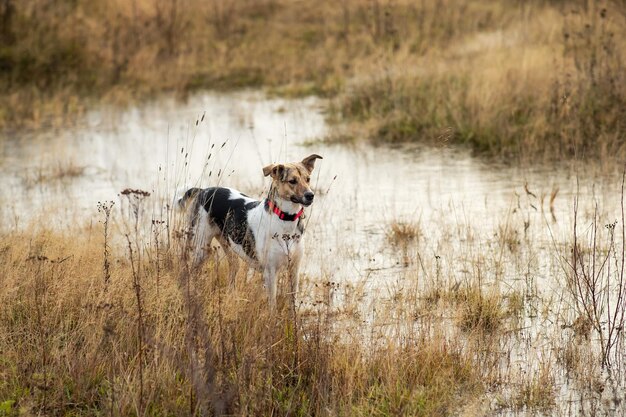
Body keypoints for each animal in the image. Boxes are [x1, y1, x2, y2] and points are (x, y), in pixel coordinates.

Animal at [177, 153, 320, 306]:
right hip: (200, 247)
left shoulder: (294, 269)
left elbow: (292, 302)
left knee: (232, 272)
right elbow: (272, 305)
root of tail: (203, 190)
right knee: (191, 270)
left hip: (230, 250)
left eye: (308, 179)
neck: (285, 220)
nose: (310, 195)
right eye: (292, 181)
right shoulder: (270, 272)